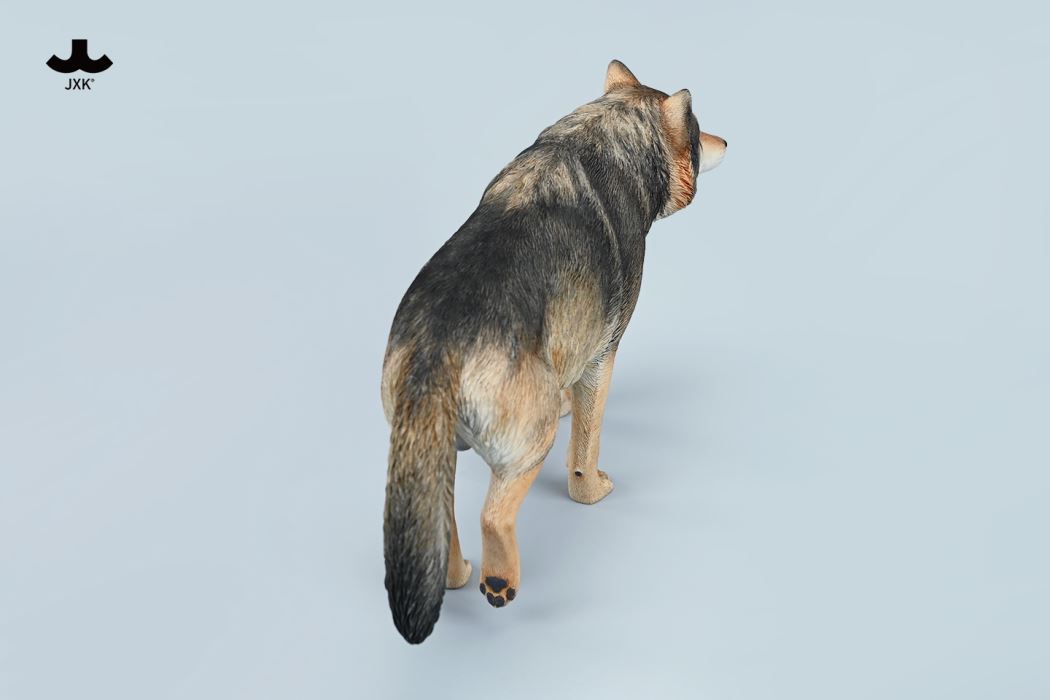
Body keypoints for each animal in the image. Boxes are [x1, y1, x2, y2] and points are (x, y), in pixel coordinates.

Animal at [380, 60, 727, 643]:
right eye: (699, 133)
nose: (727, 140)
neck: (602, 135)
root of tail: (438, 345)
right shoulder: (604, 356)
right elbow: (586, 445)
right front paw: (590, 489)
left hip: (430, 457)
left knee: (443, 526)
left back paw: (459, 574)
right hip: (531, 442)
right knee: (494, 516)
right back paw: (498, 582)